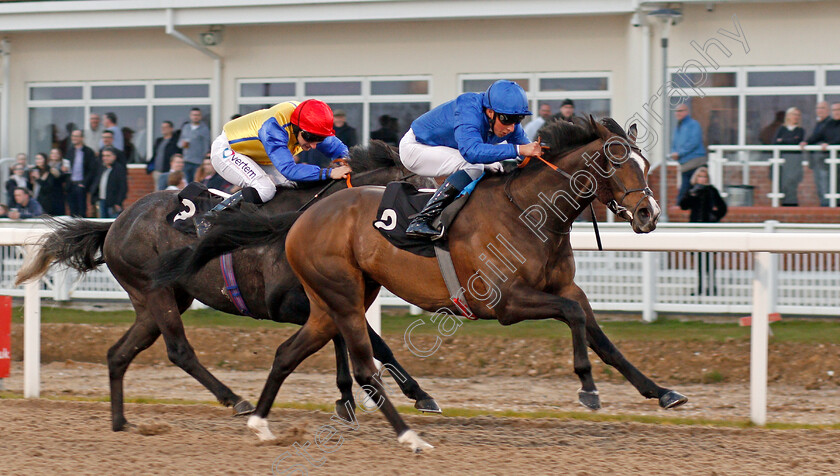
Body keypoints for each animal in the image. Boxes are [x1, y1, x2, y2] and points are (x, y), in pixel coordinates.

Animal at [13, 140, 440, 432]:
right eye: (416, 192)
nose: (429, 233)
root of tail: (115, 223)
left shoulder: (325, 296)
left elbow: (348, 340)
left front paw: (351, 398)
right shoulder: (288, 303)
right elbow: (366, 340)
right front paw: (414, 395)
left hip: (157, 301)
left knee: (118, 354)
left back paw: (121, 423)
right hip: (156, 292)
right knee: (179, 351)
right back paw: (235, 399)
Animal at [161, 117, 684, 452]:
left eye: (645, 163)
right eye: (619, 164)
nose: (649, 213)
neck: (529, 213)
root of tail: (305, 214)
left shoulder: (564, 289)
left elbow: (599, 333)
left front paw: (660, 392)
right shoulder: (506, 302)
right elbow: (575, 319)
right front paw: (587, 387)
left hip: (331, 303)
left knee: (288, 353)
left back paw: (261, 425)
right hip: (341, 297)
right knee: (361, 364)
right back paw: (403, 433)